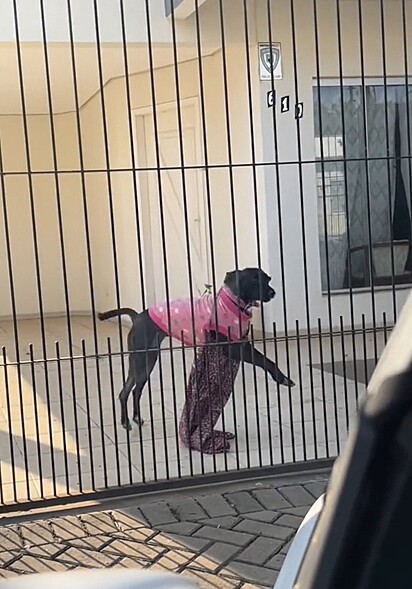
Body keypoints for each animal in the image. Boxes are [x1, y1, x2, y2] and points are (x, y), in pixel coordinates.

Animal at [98, 266, 294, 450]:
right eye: (256, 280)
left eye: (267, 279)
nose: (273, 293)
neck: (231, 302)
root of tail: (137, 316)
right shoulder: (233, 348)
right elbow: (265, 360)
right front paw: (281, 377)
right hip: (141, 361)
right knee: (126, 392)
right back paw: (126, 421)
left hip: (146, 361)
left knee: (133, 390)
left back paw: (135, 418)